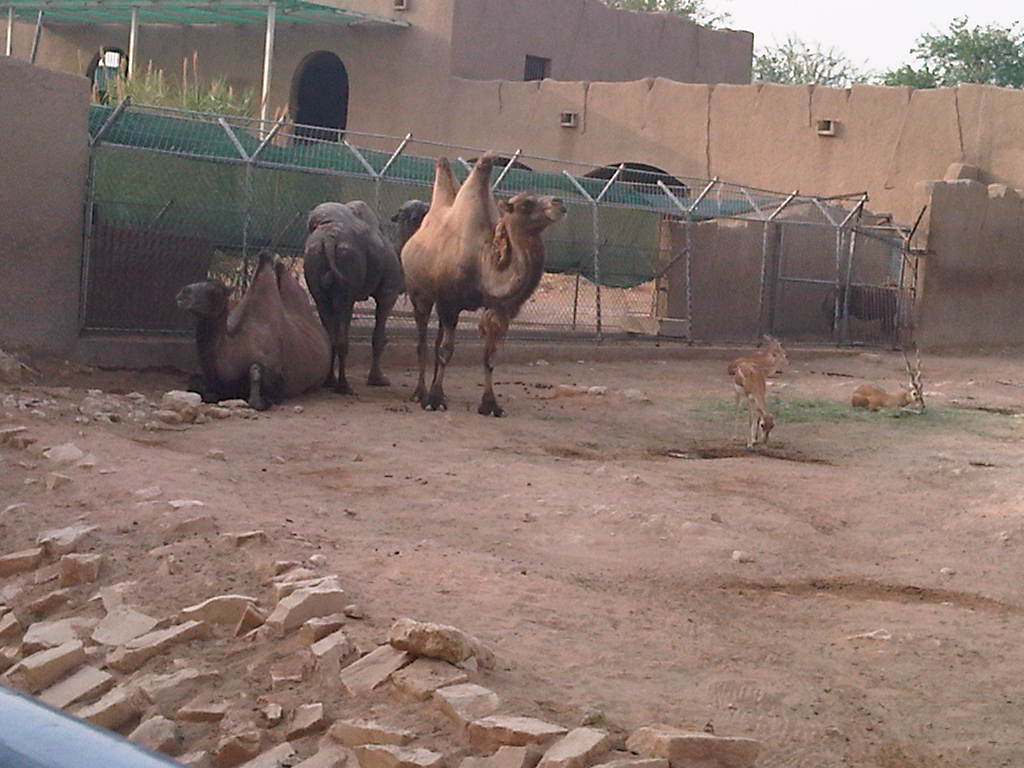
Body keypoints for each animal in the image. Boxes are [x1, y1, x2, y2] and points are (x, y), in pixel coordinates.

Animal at [303, 200, 403, 394]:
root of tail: (329, 239)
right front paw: (378, 379)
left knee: (330, 331)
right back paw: (344, 386)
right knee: (342, 336)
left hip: (314, 263)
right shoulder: (389, 292)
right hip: (347, 271)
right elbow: (379, 337)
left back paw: (330, 381)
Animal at [401, 154, 566, 416]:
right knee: (423, 341)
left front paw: (490, 404)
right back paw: (420, 393)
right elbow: (446, 350)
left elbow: (490, 355)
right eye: (525, 204)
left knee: (435, 340)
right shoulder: (449, 302)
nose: (558, 203)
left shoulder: (495, 307)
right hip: (420, 294)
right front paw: (433, 400)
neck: (482, 265)